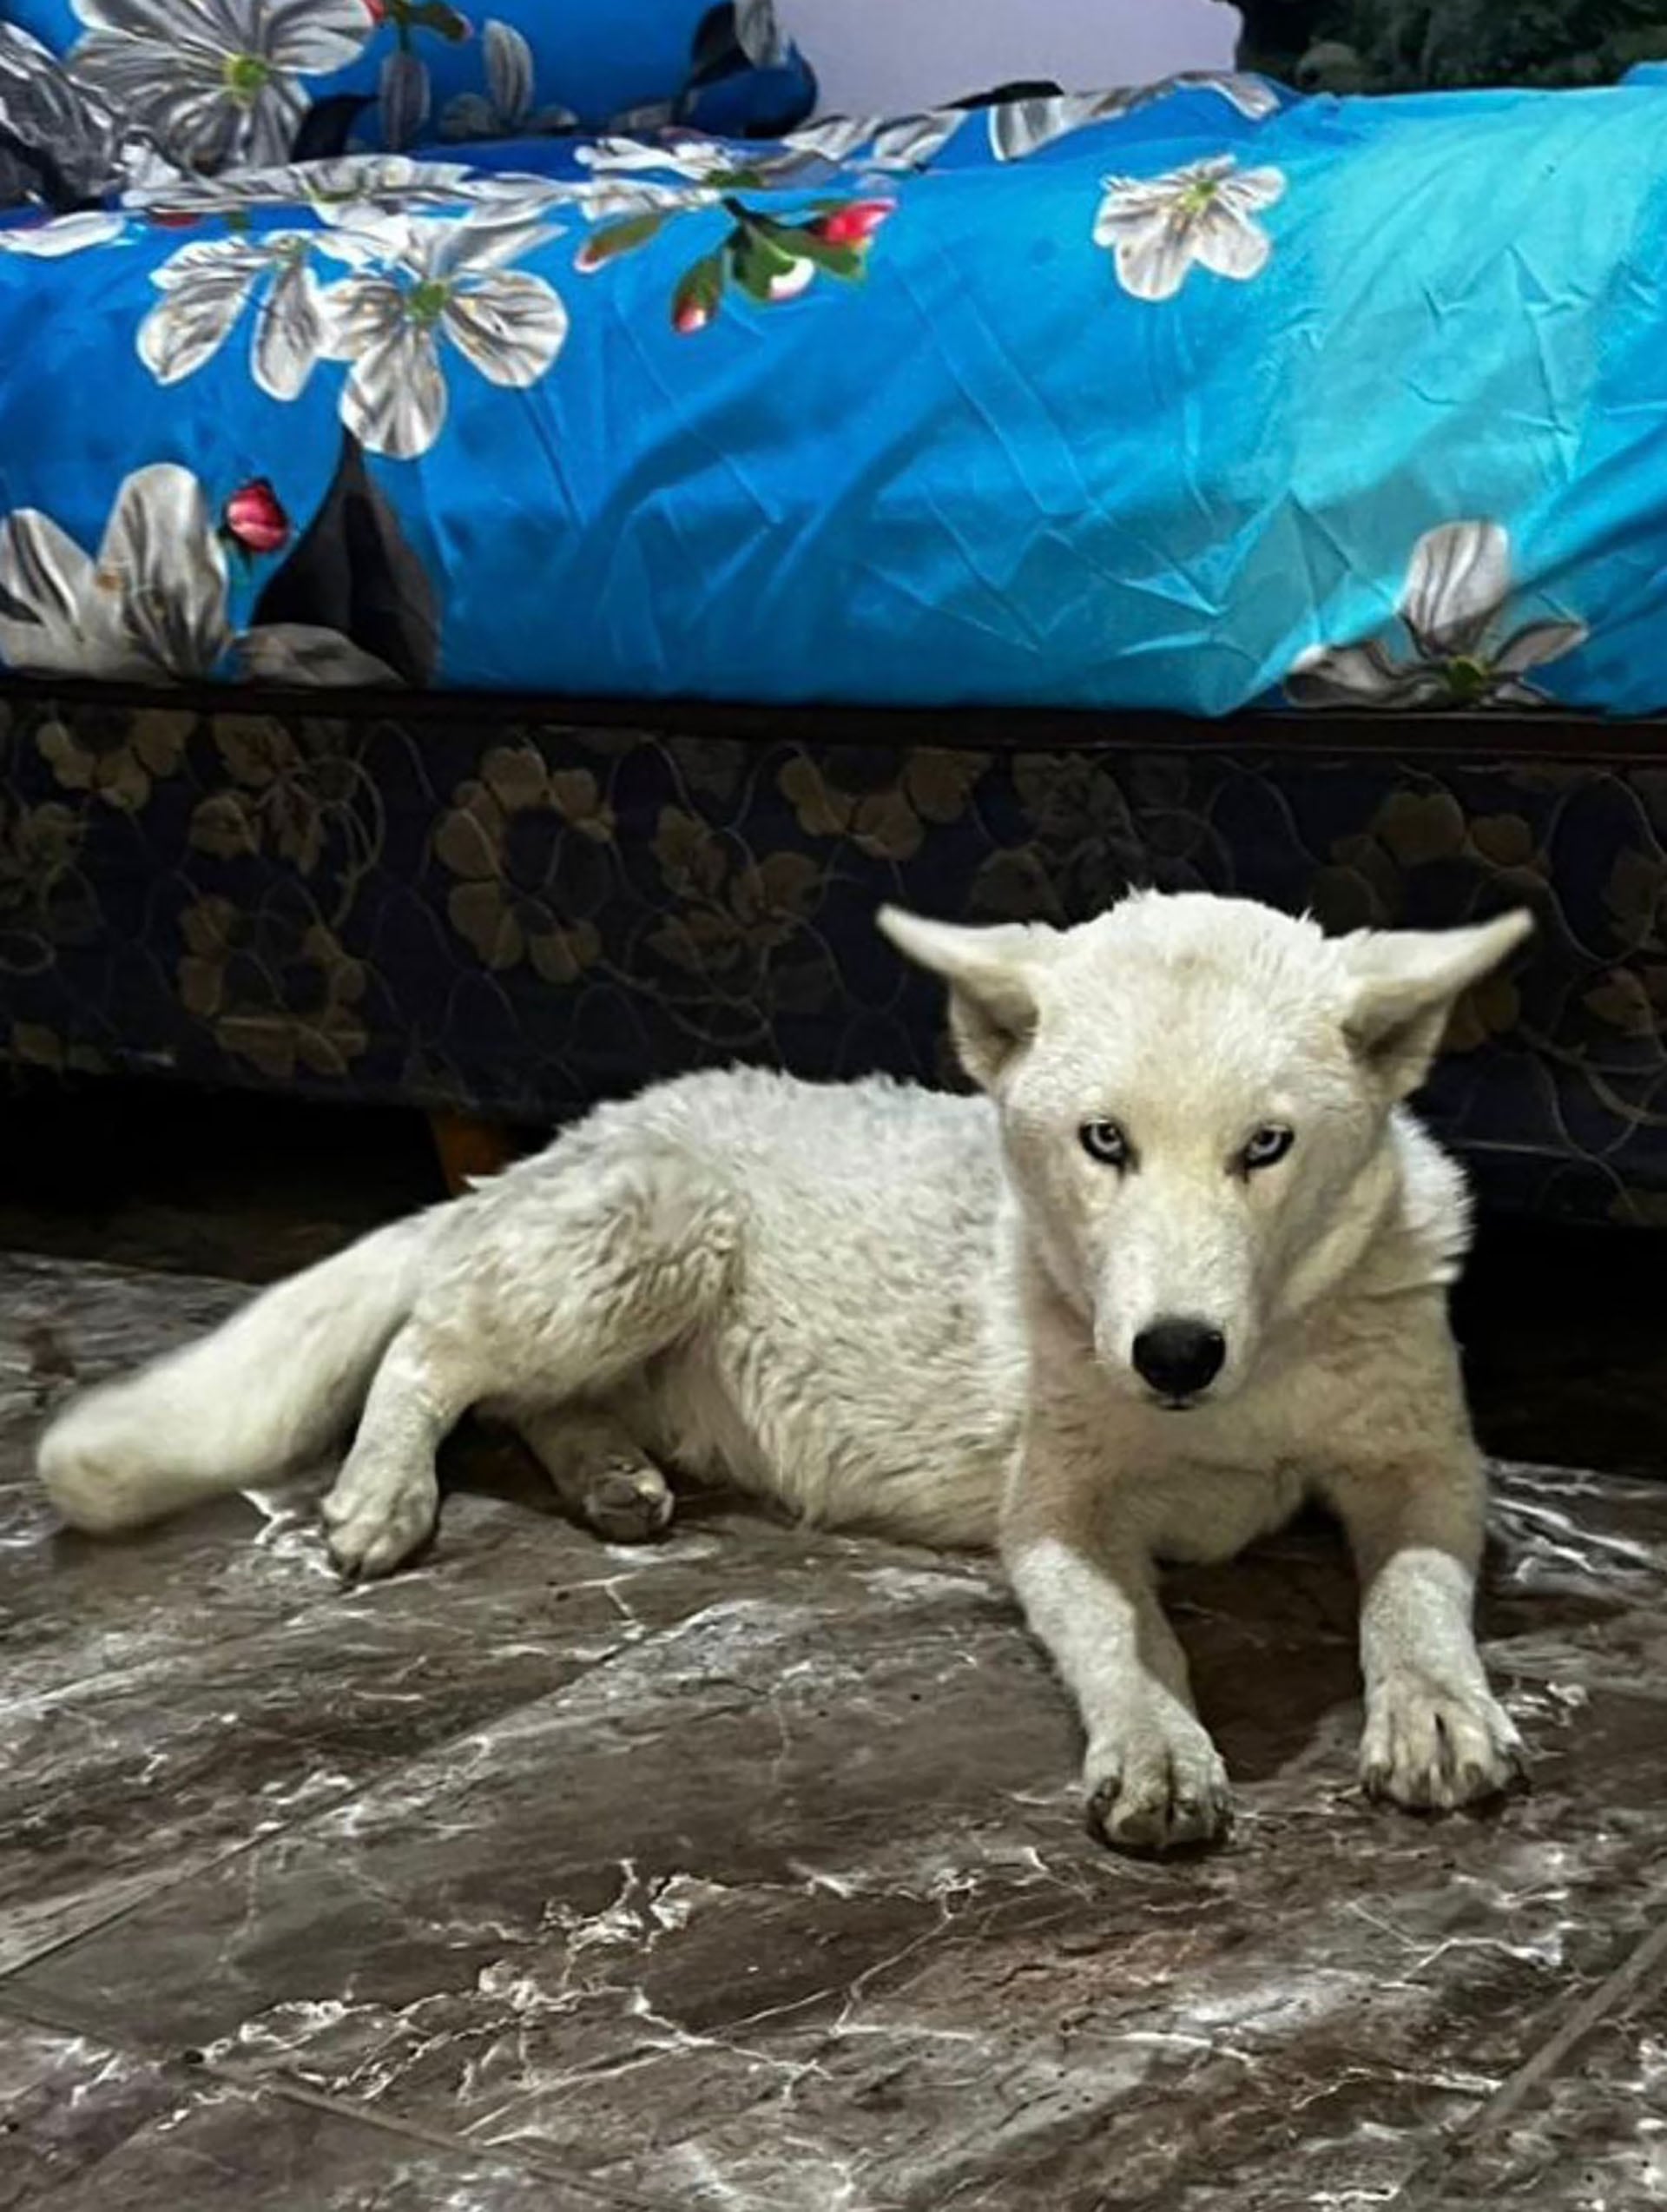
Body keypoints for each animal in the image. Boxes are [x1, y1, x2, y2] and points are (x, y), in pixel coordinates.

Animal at [38, 891, 1531, 1855]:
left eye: (1266, 1145)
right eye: (1104, 1141)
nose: (1172, 1351)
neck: (1258, 1368)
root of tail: (564, 1138)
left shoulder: (1427, 1465)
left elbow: (1411, 1591)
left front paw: (1435, 1704)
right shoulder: (1058, 1511)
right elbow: (1128, 1633)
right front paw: (1160, 1739)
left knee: (527, 1395)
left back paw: (611, 1476)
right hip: (653, 1229)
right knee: (435, 1347)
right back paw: (384, 1494)